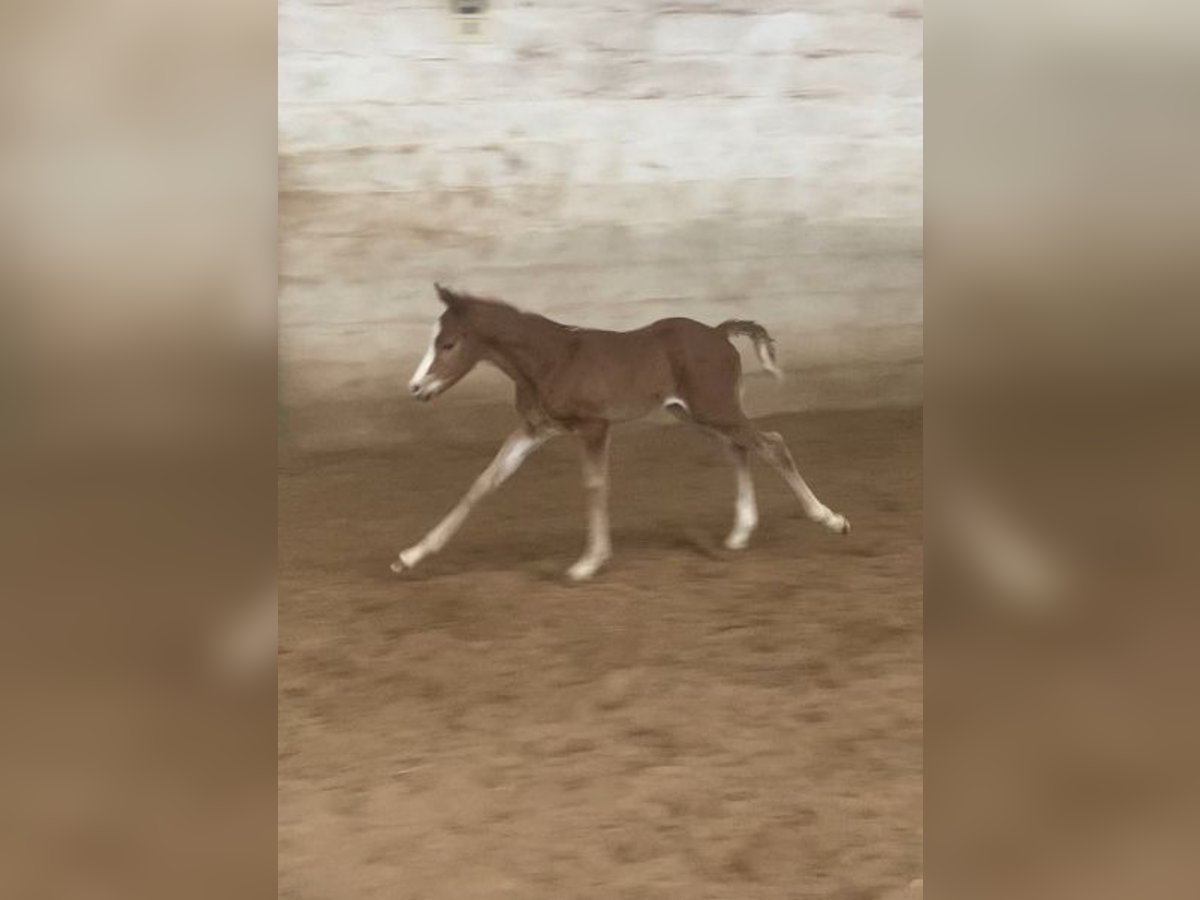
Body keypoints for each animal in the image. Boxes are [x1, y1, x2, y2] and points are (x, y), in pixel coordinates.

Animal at [392, 283, 850, 581]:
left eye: (448, 344)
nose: (415, 388)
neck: (550, 359)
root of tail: (719, 333)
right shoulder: (535, 428)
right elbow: (484, 482)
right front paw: (410, 556)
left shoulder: (594, 426)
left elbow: (595, 484)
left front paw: (587, 563)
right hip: (696, 415)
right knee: (739, 450)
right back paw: (739, 534)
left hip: (716, 409)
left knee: (772, 444)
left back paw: (831, 519)